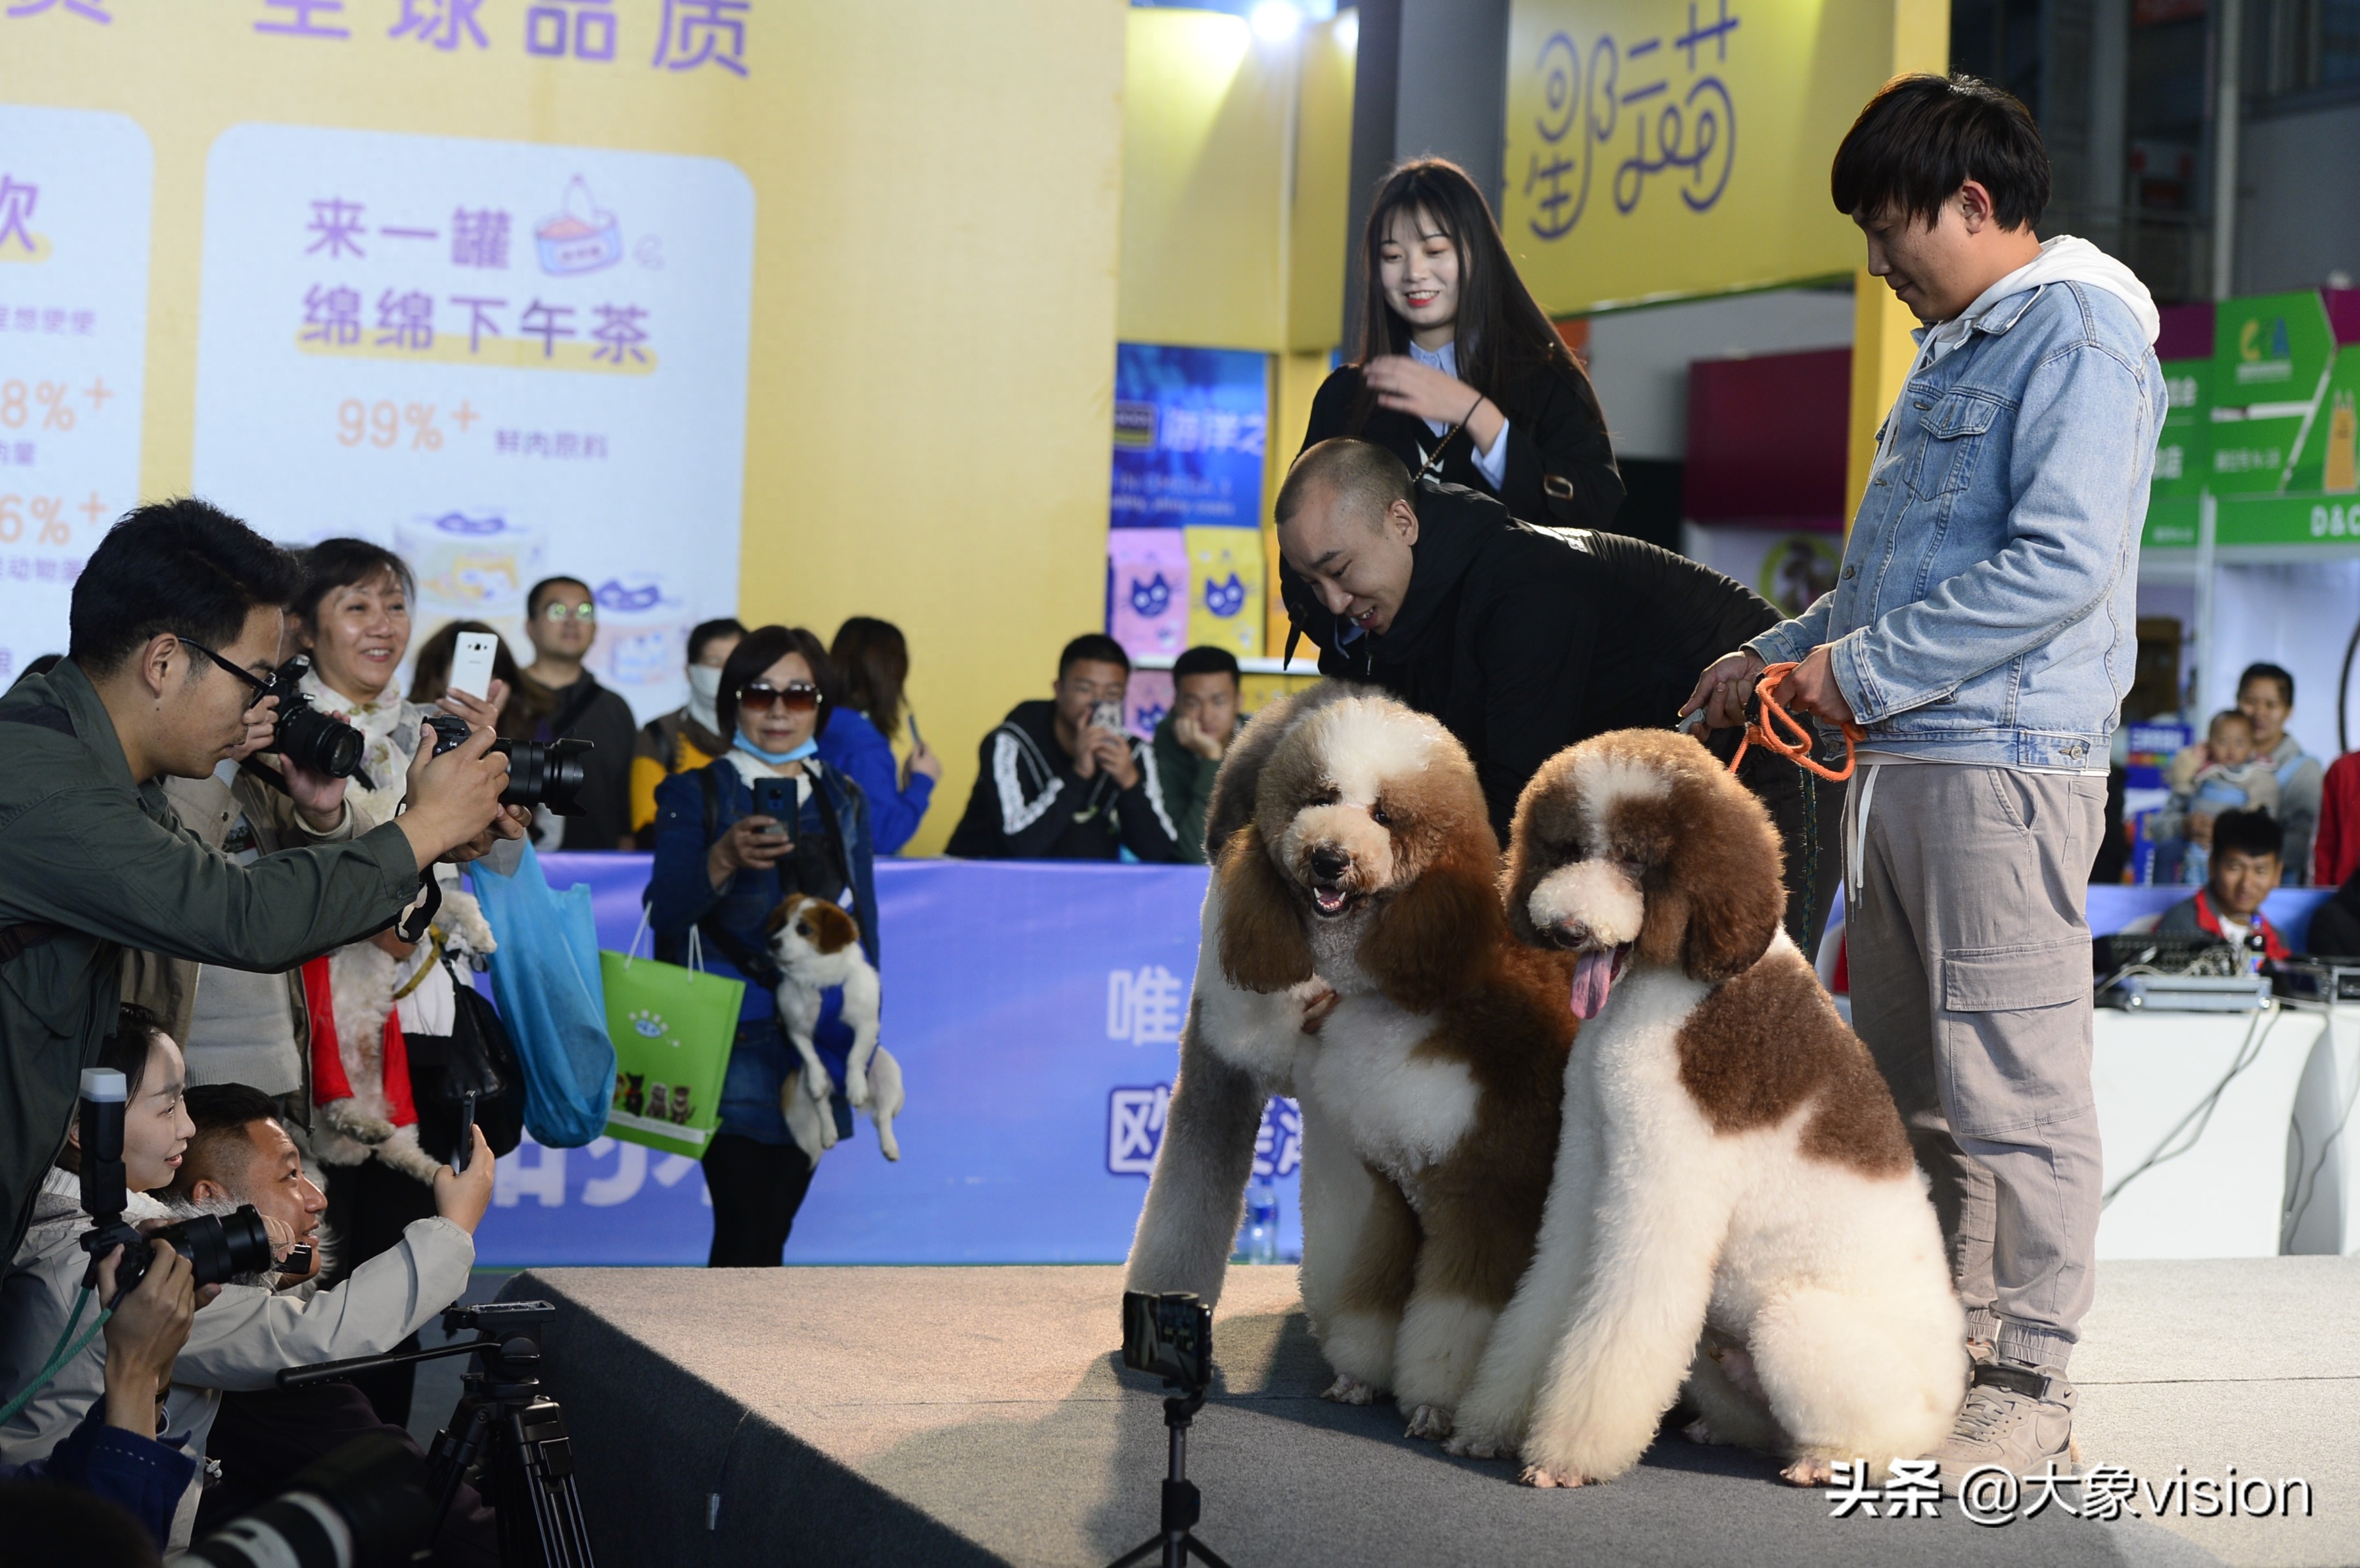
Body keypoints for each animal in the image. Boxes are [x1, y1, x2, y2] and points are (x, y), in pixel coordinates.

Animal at [769, 891, 896, 1160]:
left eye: (804, 929)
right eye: (781, 923)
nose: (772, 942)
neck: (819, 983)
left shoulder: (866, 1026)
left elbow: (855, 1057)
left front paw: (856, 1086)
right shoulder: (796, 1029)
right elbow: (810, 1057)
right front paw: (818, 1079)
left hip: (889, 1072)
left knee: (882, 1116)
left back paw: (890, 1146)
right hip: (810, 1083)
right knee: (824, 1108)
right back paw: (828, 1133)